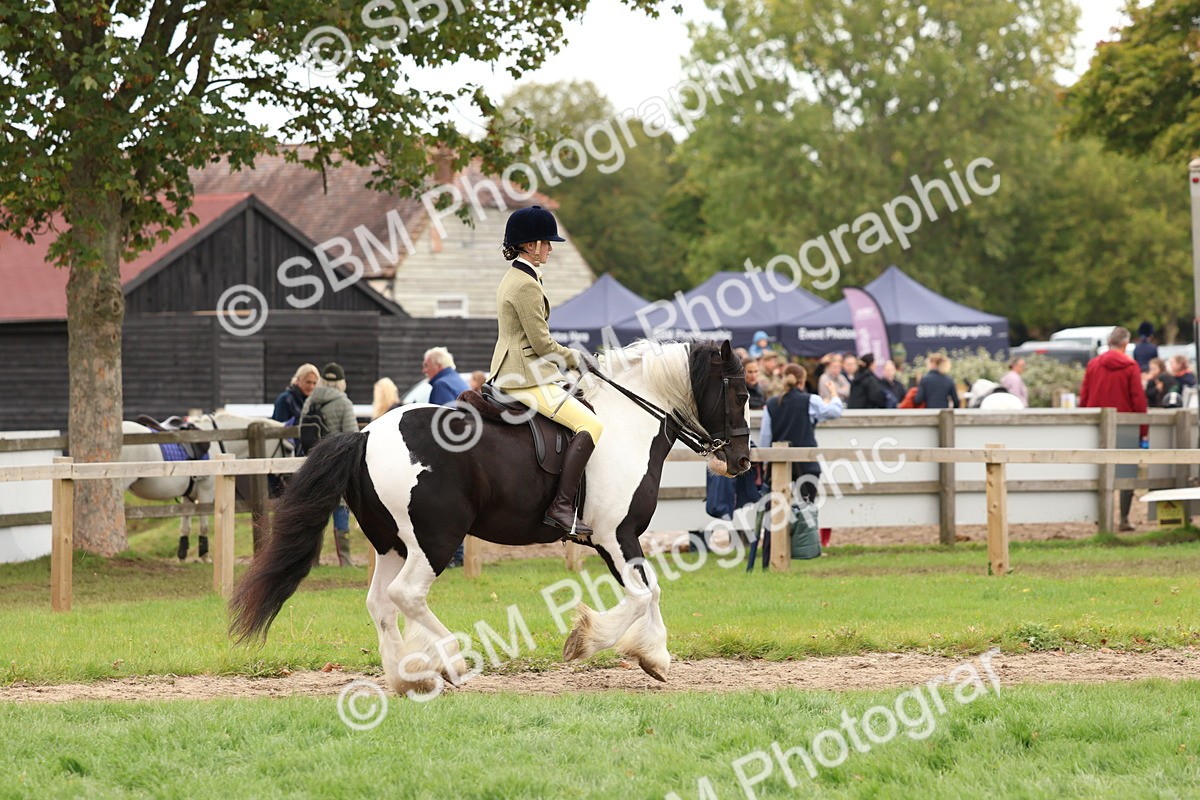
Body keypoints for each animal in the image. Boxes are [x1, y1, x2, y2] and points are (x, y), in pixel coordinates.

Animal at [120, 413, 293, 561]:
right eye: (289, 449)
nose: (290, 477)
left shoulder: (188, 497)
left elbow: (185, 526)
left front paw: (182, 555)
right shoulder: (206, 493)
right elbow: (204, 525)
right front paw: (204, 555)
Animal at [229, 339, 751, 694]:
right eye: (741, 394)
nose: (742, 461)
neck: (626, 424)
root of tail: (365, 434)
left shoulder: (621, 540)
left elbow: (650, 592)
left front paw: (655, 657)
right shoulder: (615, 536)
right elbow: (644, 595)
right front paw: (588, 641)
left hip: (392, 544)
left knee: (381, 603)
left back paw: (407, 677)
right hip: (436, 541)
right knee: (406, 595)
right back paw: (452, 661)